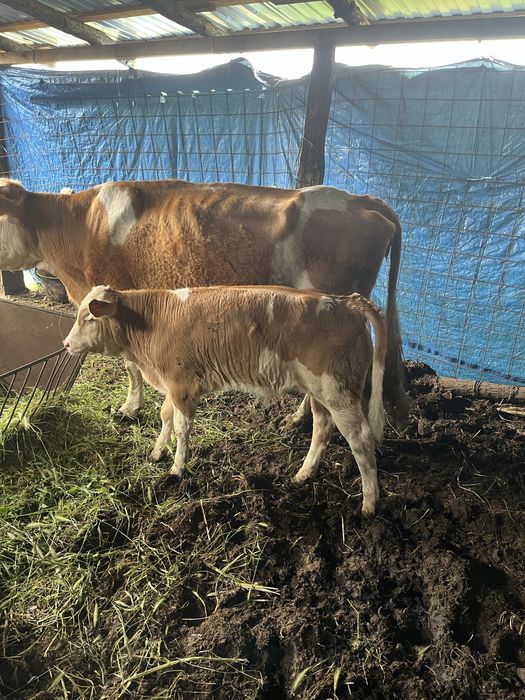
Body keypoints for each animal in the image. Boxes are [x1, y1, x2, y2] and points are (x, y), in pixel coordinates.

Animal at [64, 285, 387, 516]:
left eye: (88, 318)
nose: (66, 344)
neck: (152, 322)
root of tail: (346, 301)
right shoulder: (172, 385)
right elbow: (165, 416)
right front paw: (157, 452)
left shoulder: (182, 386)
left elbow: (181, 427)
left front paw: (177, 469)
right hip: (320, 393)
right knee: (321, 428)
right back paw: (303, 474)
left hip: (339, 392)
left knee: (361, 440)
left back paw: (370, 503)